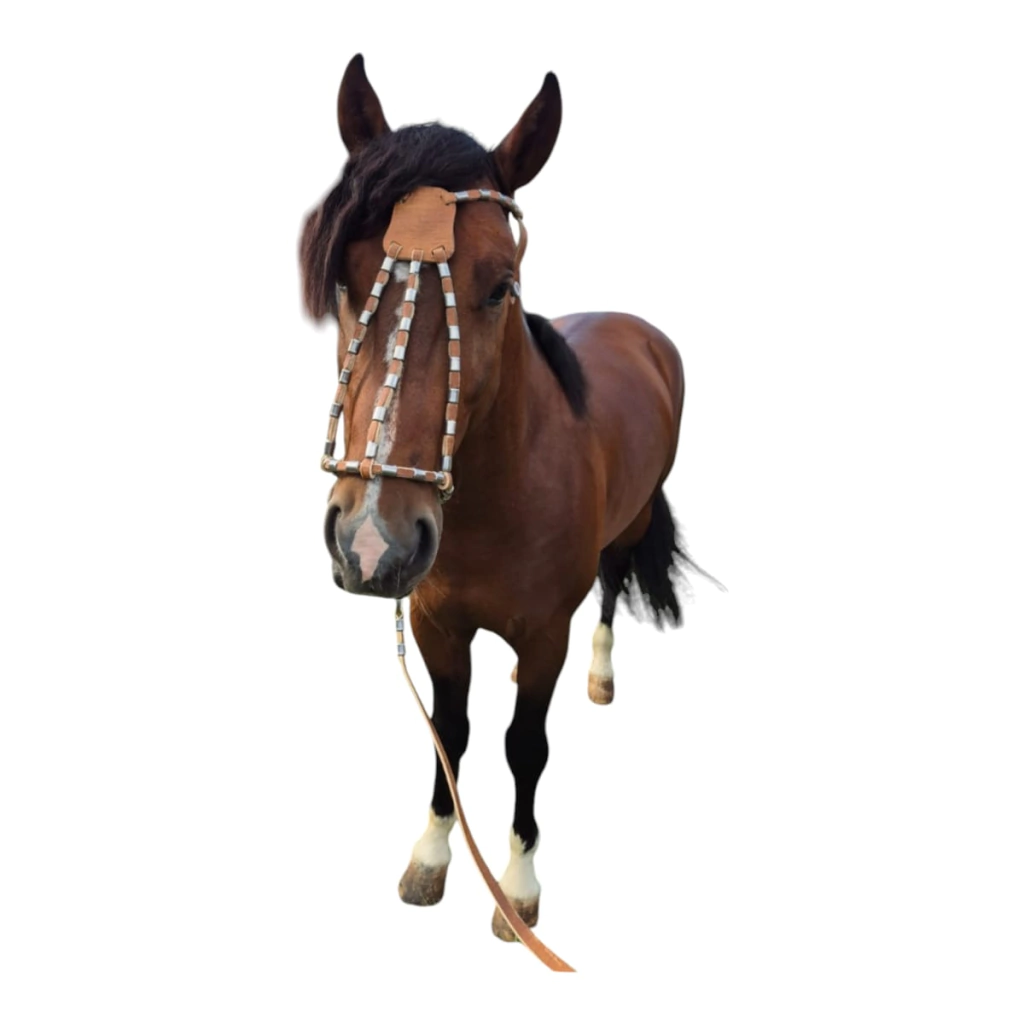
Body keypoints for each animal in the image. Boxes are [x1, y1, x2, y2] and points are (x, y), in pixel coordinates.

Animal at [299, 54, 705, 949]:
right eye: (344, 277)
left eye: (501, 286)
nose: (373, 540)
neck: (495, 501)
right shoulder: (435, 623)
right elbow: (449, 732)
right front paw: (430, 855)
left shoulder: (544, 631)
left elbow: (526, 745)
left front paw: (516, 888)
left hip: (627, 528)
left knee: (612, 586)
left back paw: (601, 673)